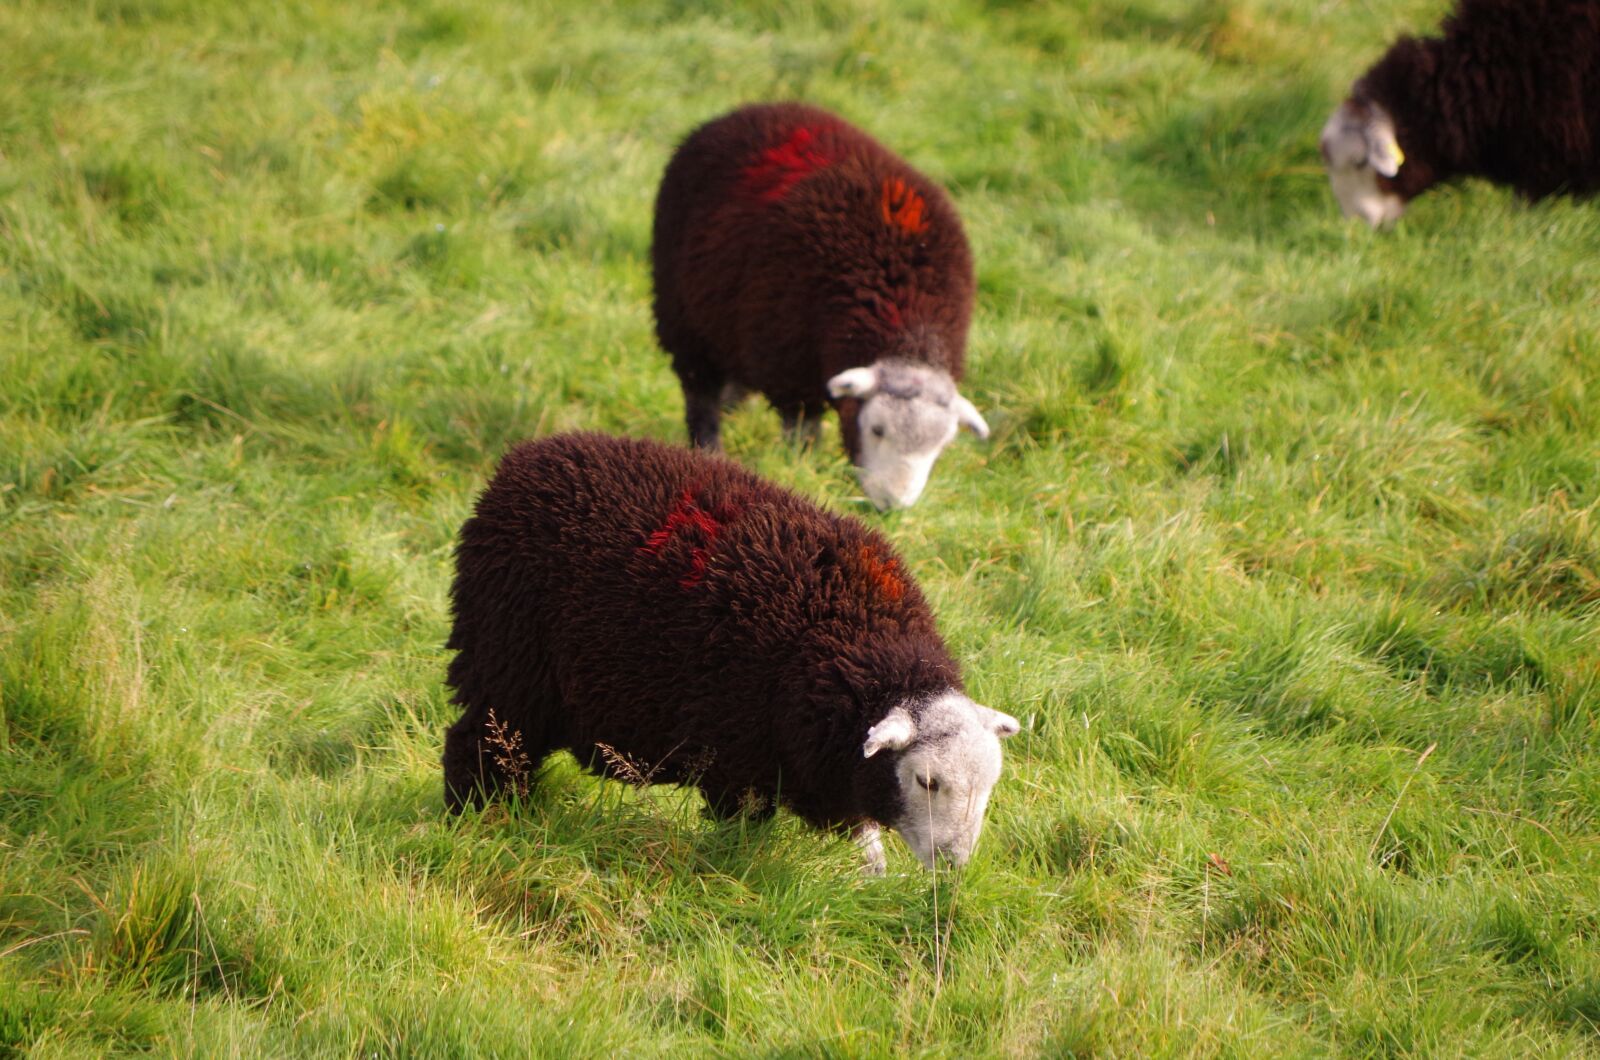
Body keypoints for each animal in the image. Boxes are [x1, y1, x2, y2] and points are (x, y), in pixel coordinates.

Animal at [441, 432, 1011, 871]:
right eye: (926, 781)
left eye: (988, 787)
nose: (956, 867)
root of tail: (524, 458)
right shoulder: (739, 755)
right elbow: (744, 831)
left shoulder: (820, 763)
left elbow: (864, 841)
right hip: (507, 660)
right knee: (480, 746)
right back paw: (479, 818)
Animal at [649, 101, 985, 512]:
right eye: (877, 430)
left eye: (940, 446)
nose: (892, 505)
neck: (906, 321)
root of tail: (765, 107)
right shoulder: (785, 354)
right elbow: (802, 428)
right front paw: (801, 465)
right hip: (683, 313)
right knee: (700, 392)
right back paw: (709, 447)